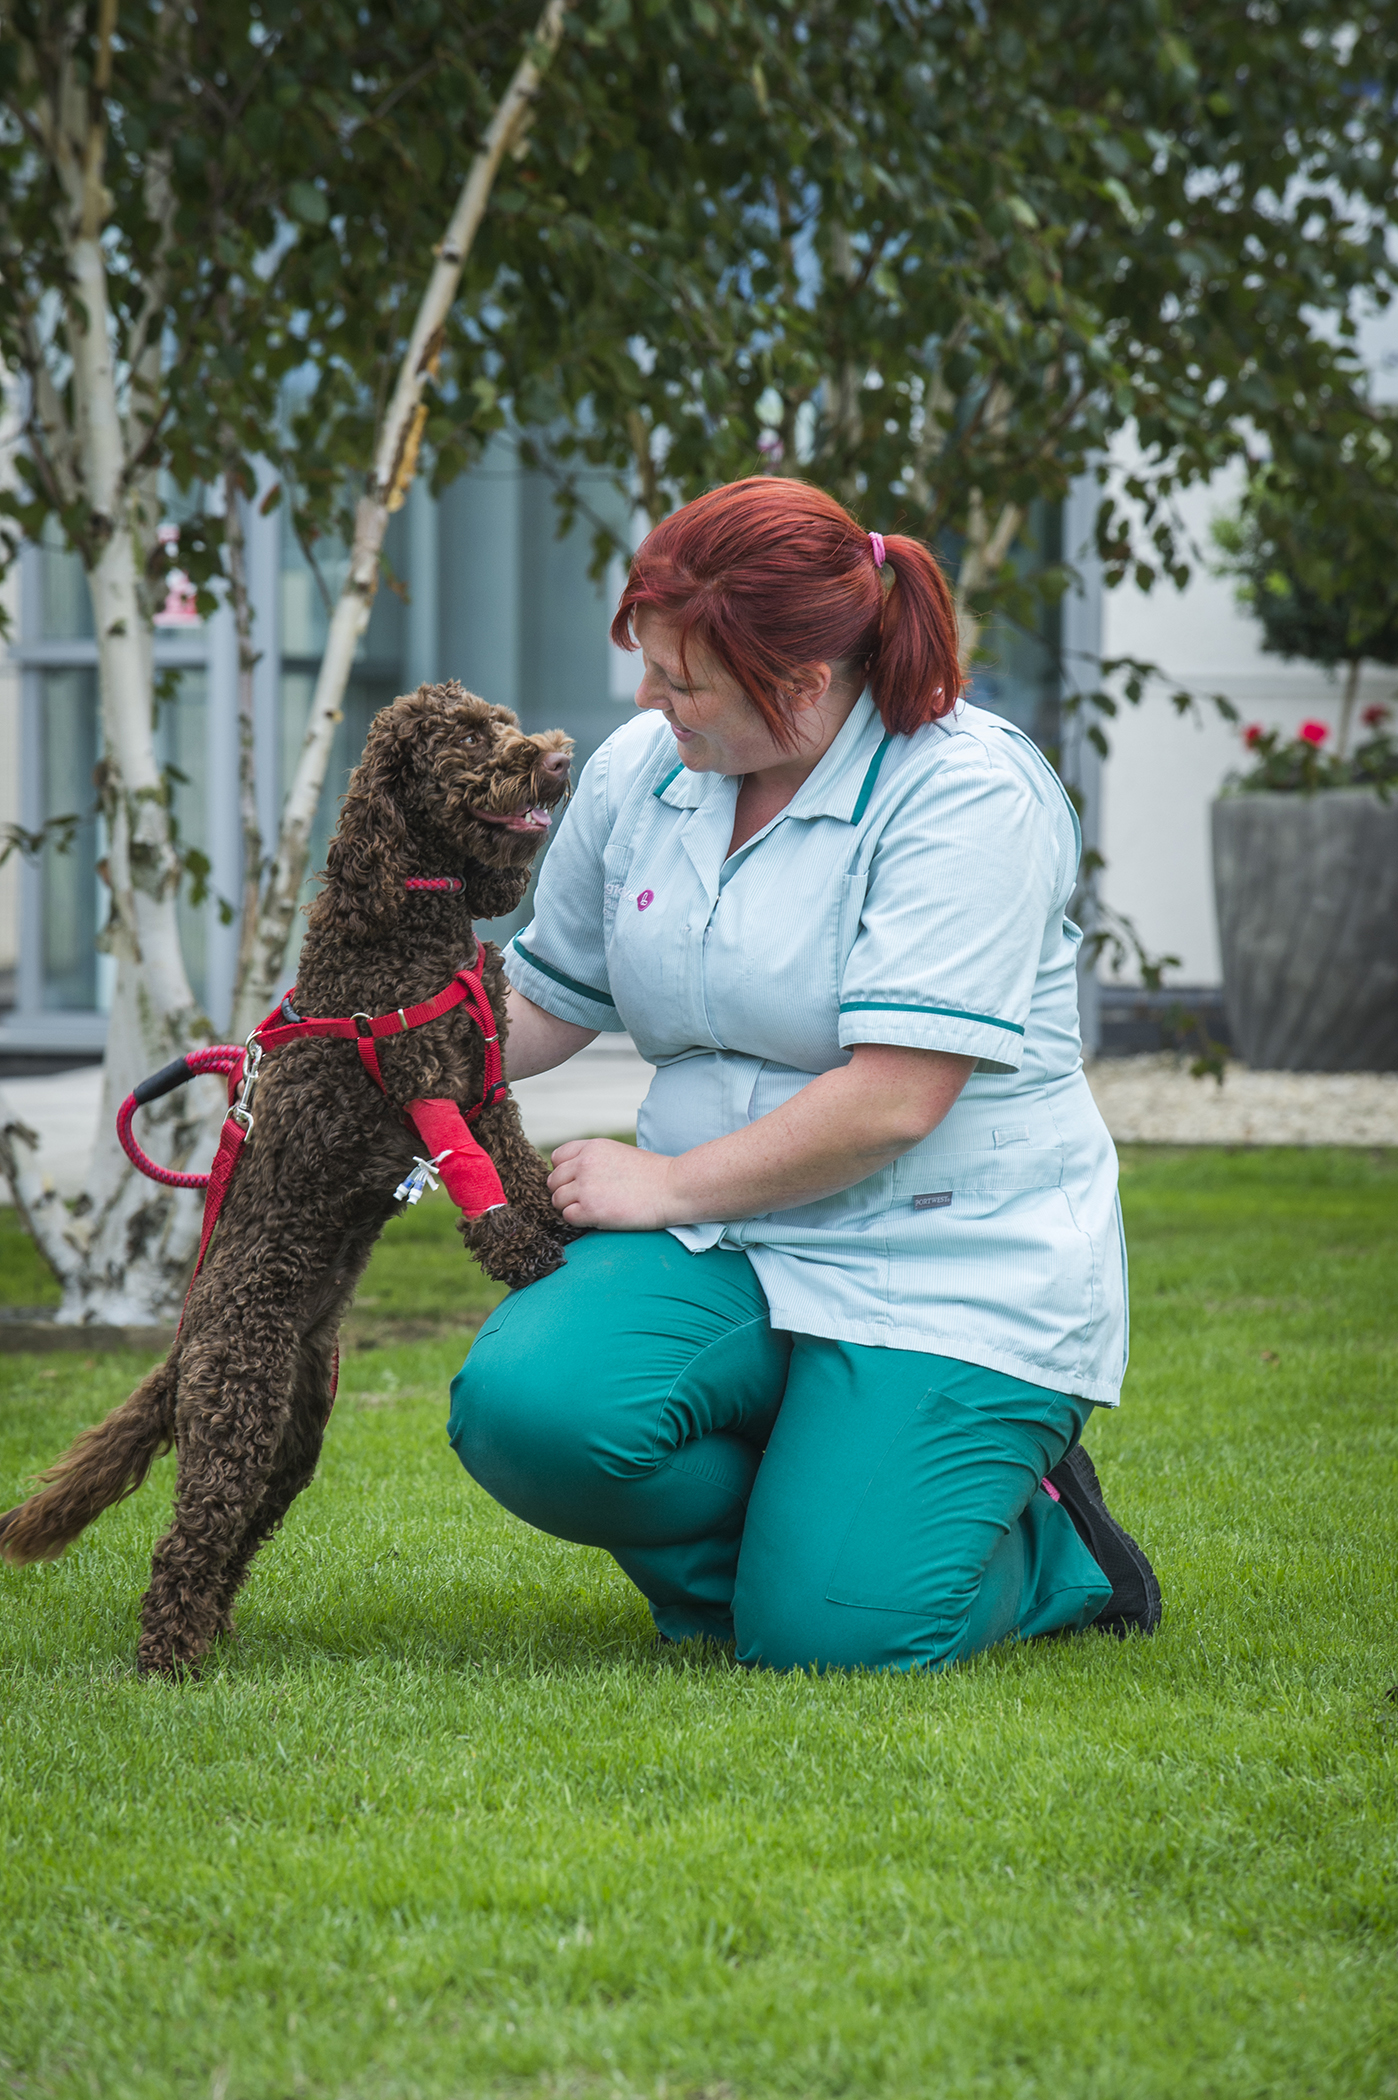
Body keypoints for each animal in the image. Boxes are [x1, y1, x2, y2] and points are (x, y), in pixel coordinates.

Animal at [0, 682, 576, 1676]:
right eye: (469, 739)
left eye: (503, 721)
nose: (556, 757)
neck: (412, 920)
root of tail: (182, 1347)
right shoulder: (423, 1083)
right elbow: (481, 1190)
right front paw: (529, 1260)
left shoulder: (488, 1083)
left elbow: (517, 1166)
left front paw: (562, 1223)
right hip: (238, 1401)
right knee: (189, 1536)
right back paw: (168, 1665)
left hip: (294, 1430)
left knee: (236, 1536)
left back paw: (214, 1634)